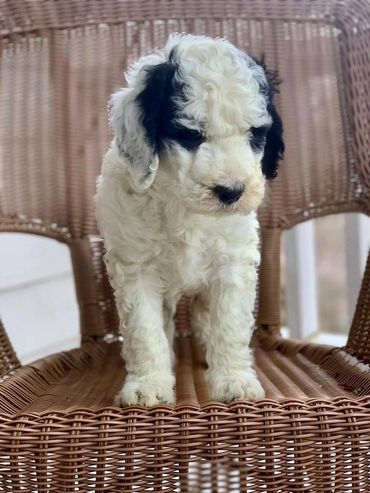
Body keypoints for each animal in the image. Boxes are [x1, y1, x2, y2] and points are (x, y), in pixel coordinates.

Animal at [94, 32, 284, 406]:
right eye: (190, 134)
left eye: (256, 135)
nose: (231, 191)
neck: (184, 207)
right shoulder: (136, 267)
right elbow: (144, 329)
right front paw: (148, 383)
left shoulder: (231, 261)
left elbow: (229, 323)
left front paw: (233, 378)